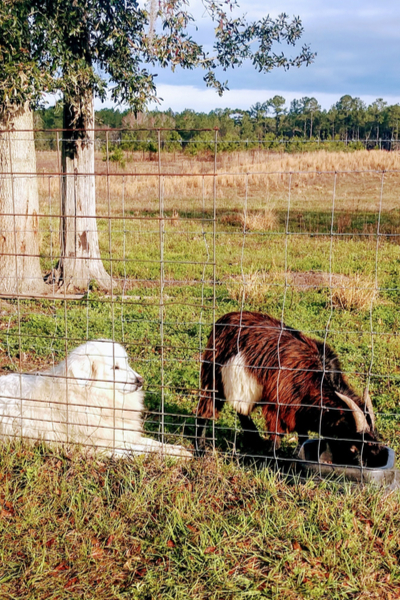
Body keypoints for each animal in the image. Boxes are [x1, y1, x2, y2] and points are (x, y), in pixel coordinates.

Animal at [0, 338, 192, 460]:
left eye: (126, 363)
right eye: (115, 367)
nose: (140, 381)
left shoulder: (120, 433)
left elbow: (151, 443)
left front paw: (177, 450)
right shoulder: (99, 446)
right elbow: (139, 451)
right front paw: (174, 455)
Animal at [197, 312, 384, 466]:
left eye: (376, 437)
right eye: (357, 444)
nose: (375, 460)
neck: (316, 377)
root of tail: (223, 320)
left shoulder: (299, 409)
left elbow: (303, 436)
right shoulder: (278, 405)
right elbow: (277, 436)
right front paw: (273, 461)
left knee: (241, 411)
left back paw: (254, 440)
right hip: (213, 377)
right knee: (206, 409)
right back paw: (201, 448)